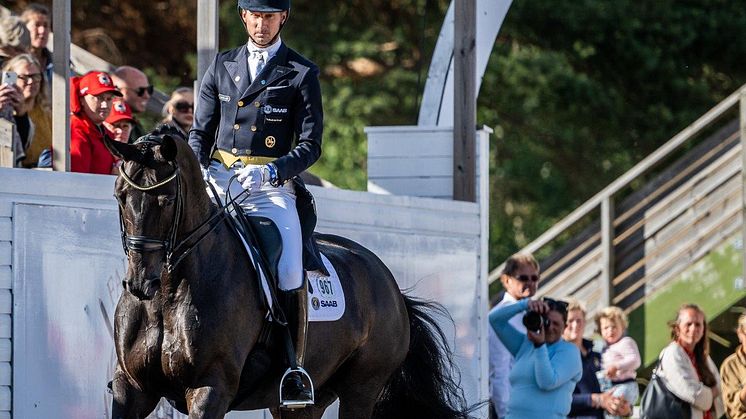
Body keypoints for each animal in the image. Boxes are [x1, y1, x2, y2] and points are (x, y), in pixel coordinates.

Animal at [103, 129, 470, 419]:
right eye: (120, 195)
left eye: (166, 200)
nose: (140, 282)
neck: (169, 294)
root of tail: (390, 285)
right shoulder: (131, 389)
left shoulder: (210, 387)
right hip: (306, 403)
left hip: (361, 389)